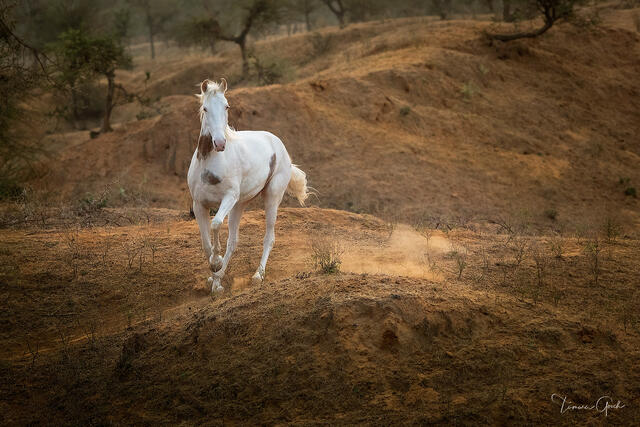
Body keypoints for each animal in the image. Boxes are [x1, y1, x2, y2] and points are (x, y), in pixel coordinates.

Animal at [188, 78, 309, 293]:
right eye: (205, 108)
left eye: (227, 106)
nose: (220, 143)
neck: (210, 162)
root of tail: (279, 144)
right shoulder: (199, 204)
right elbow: (206, 244)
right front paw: (215, 277)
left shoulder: (228, 198)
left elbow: (216, 224)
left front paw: (216, 266)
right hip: (240, 204)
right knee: (233, 242)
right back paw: (219, 278)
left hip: (270, 198)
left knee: (269, 237)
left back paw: (257, 275)